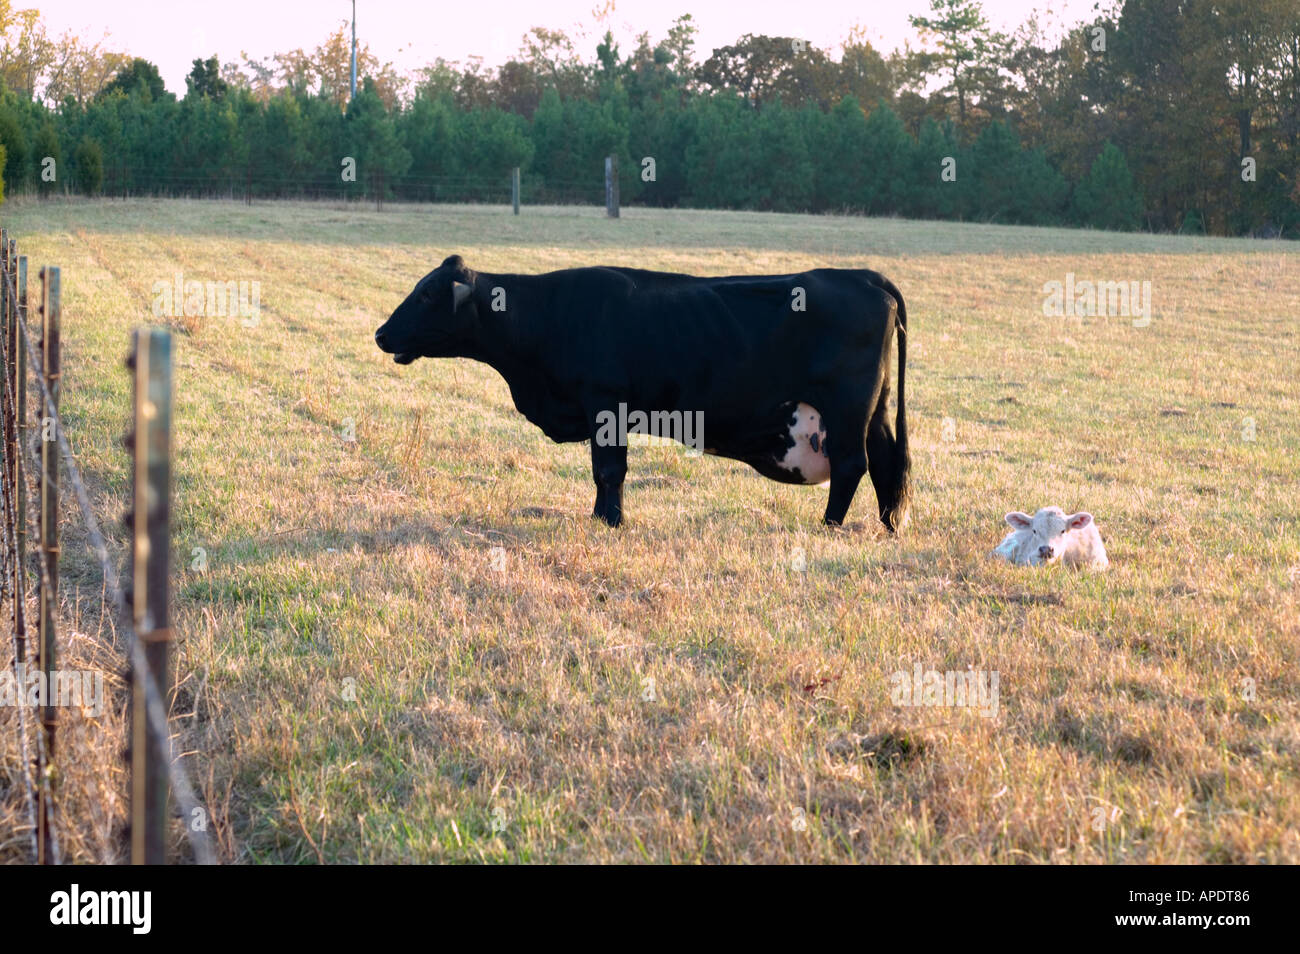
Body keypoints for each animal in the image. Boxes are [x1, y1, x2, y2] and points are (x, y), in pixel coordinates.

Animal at [374, 255, 910, 531]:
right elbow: (601, 471)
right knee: (887, 462)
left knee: (853, 466)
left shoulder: (605, 401)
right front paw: (598, 517)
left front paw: (612, 522)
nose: (381, 334)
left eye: (427, 294)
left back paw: (830, 526)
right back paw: (888, 526)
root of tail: (862, 275)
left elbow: (609, 469)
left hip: (847, 407)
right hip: (875, 409)